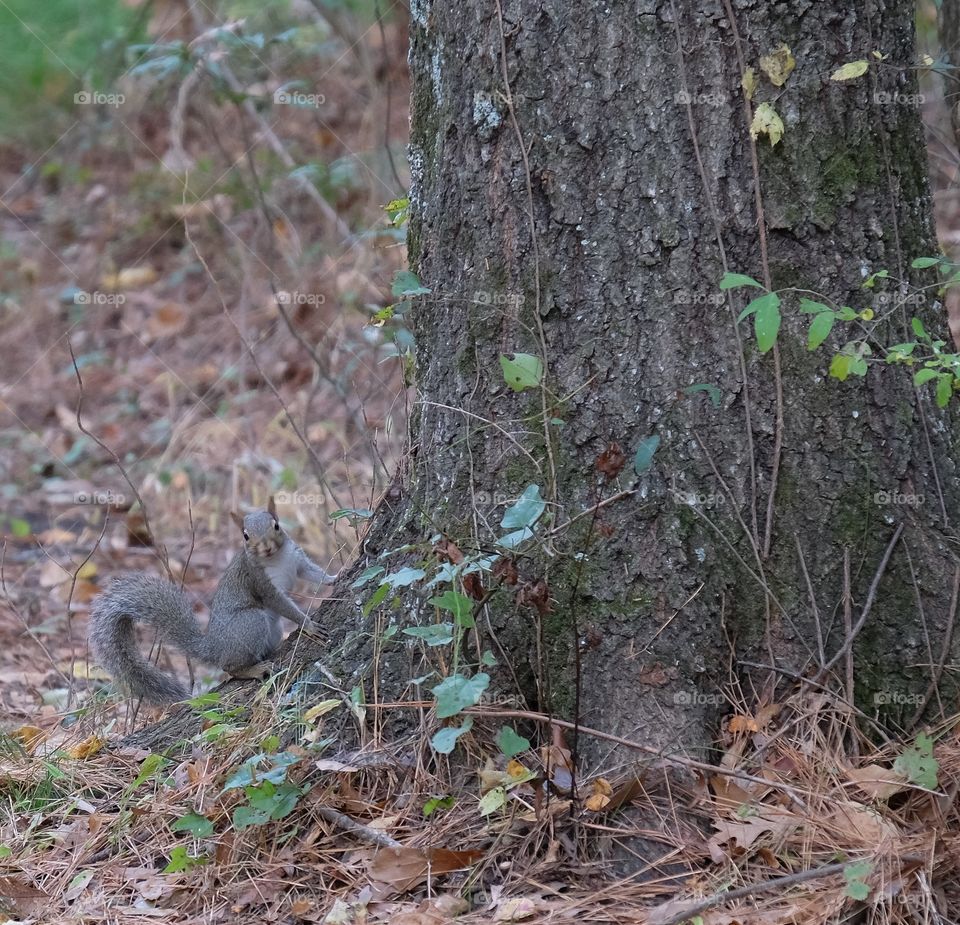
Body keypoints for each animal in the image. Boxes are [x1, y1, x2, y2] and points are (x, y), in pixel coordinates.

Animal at [89, 497, 338, 705]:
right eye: (245, 536)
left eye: (276, 525)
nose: (266, 547)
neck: (277, 557)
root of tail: (214, 648)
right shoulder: (261, 583)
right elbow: (283, 604)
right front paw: (309, 625)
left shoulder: (297, 560)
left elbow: (314, 573)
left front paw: (335, 578)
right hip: (250, 622)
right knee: (230, 667)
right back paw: (252, 670)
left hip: (271, 629)